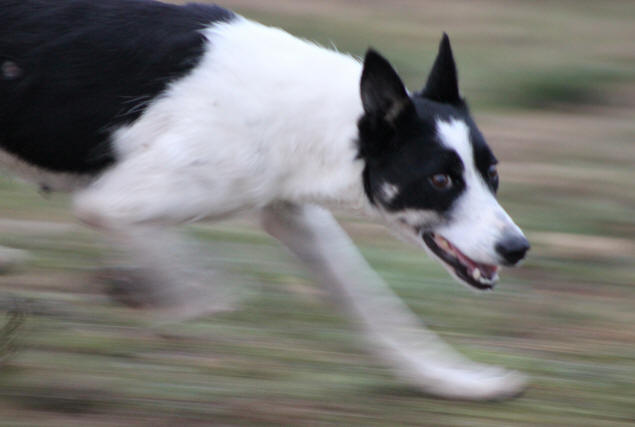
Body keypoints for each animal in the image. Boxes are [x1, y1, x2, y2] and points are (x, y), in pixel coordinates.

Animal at [1, 0, 532, 402]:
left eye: (492, 174)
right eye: (440, 180)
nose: (518, 248)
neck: (312, 118)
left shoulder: (294, 215)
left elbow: (375, 305)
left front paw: (453, 380)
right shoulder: (111, 204)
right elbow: (198, 285)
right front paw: (169, 301)